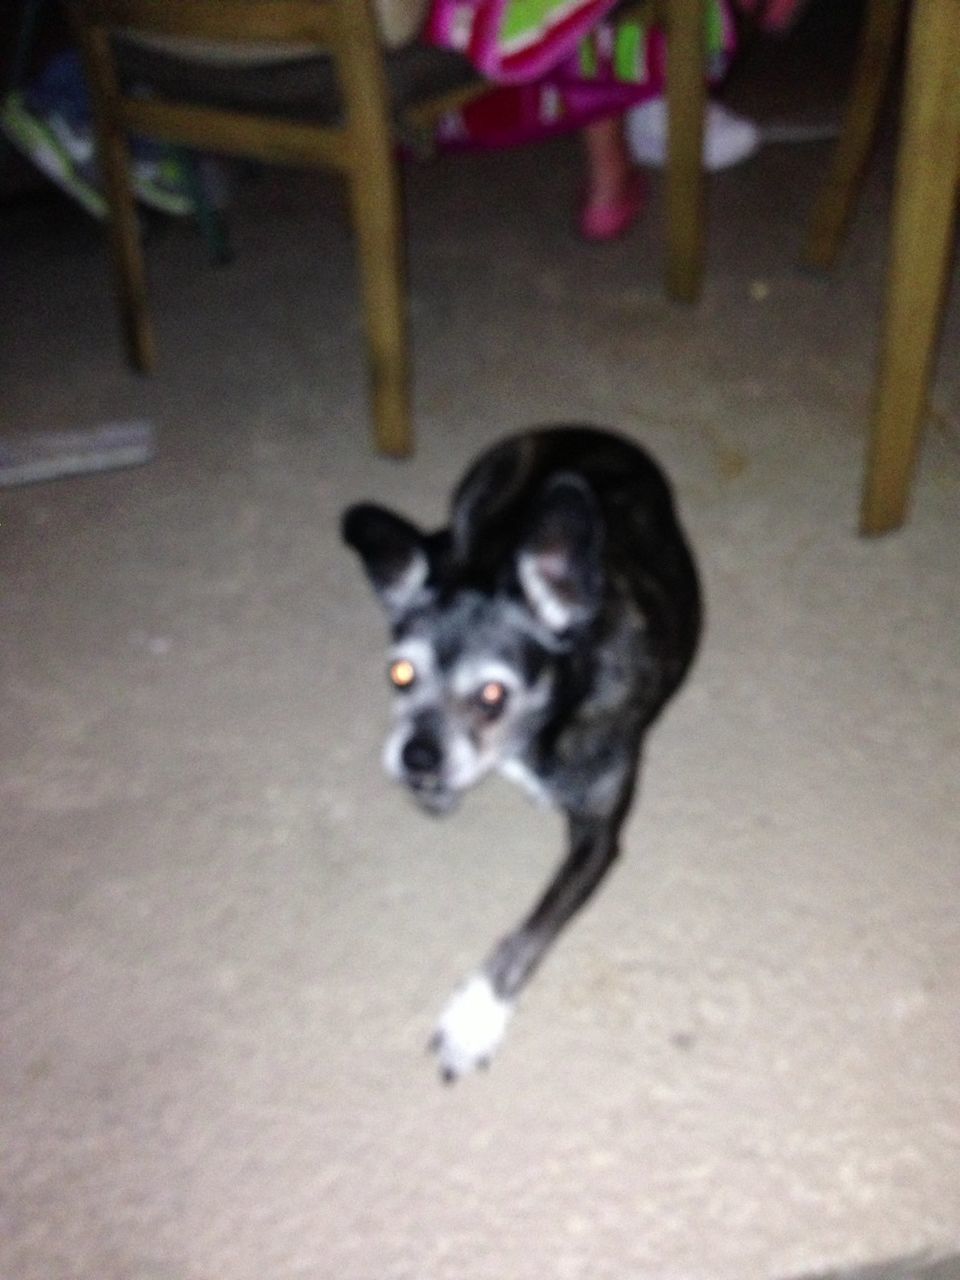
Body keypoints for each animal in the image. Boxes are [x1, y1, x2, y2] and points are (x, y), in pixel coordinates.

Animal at [343, 430, 701, 1080]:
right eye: (400, 673)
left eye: (492, 695)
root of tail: (578, 428)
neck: (537, 728)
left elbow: (528, 932)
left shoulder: (597, 840)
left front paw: (475, 1017)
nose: (417, 757)